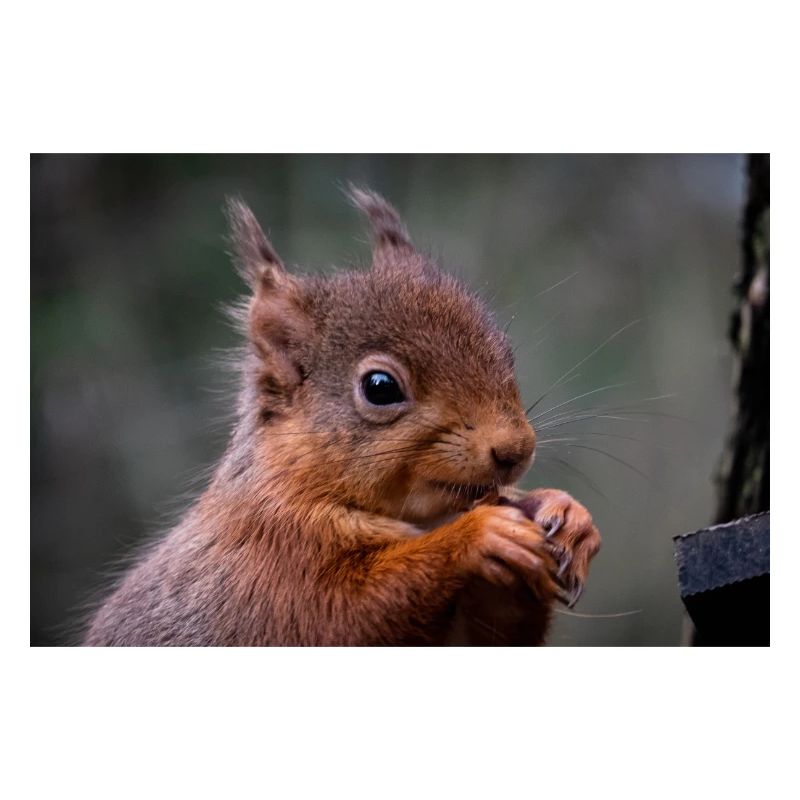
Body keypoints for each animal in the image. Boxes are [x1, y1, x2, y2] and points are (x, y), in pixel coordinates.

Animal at [84, 187, 601, 646]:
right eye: (380, 387)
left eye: (505, 352)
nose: (516, 450)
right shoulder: (276, 564)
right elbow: (340, 612)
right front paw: (478, 535)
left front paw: (568, 515)